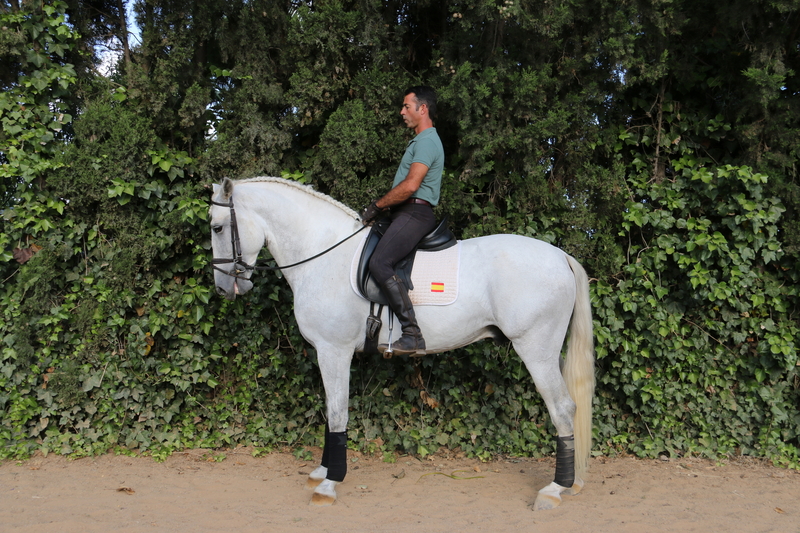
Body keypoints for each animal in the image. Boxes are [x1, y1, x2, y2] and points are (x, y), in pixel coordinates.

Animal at [209, 176, 595, 511]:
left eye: (216, 228)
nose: (224, 288)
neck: (322, 255)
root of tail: (560, 256)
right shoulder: (328, 352)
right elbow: (330, 410)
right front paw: (322, 472)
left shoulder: (334, 351)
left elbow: (337, 412)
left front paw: (330, 483)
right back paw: (569, 482)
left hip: (535, 350)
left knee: (563, 409)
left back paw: (555, 489)